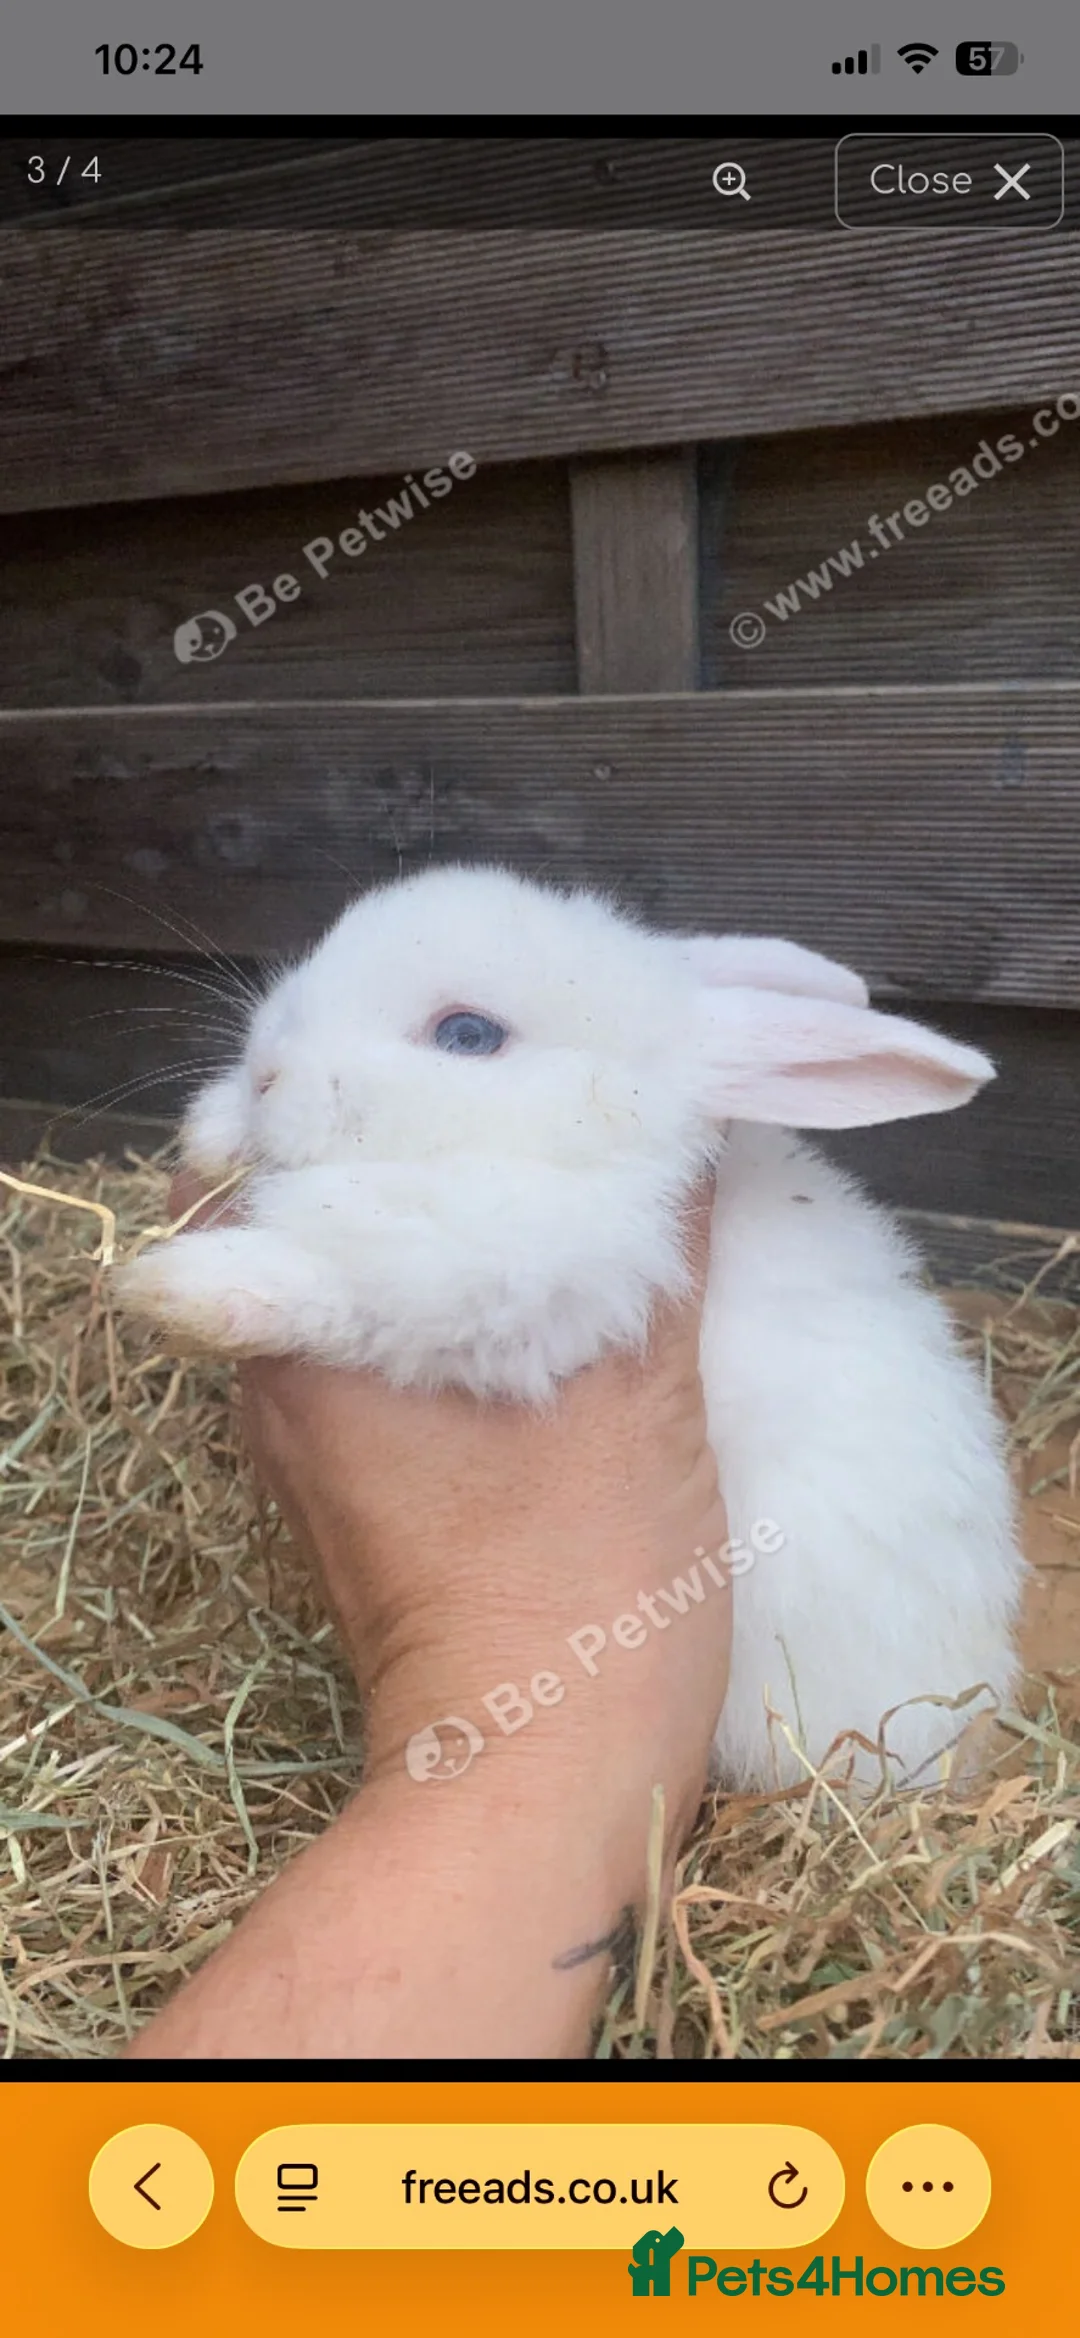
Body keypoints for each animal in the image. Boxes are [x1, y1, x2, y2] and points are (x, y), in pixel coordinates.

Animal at [115, 862, 1023, 1790]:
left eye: (468, 1034)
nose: (265, 1074)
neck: (560, 1148)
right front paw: (217, 1130)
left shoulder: (501, 1279)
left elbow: (333, 1276)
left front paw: (173, 1287)